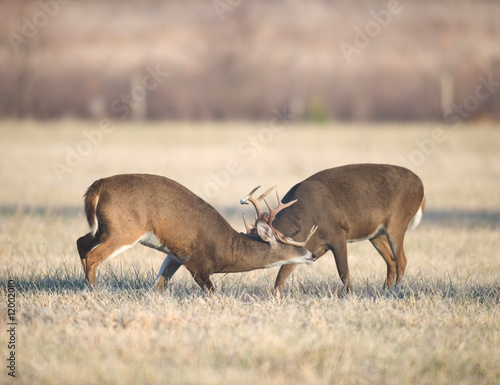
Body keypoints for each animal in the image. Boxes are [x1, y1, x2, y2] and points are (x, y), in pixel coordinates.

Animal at [75, 172, 316, 290]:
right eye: (286, 241)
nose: (312, 255)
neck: (227, 250)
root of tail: (99, 185)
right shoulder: (198, 263)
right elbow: (212, 292)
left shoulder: (175, 255)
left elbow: (158, 286)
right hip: (124, 230)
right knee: (93, 256)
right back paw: (94, 292)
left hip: (102, 228)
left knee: (81, 242)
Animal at [242, 164, 426, 296]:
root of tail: (422, 186)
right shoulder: (307, 249)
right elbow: (280, 278)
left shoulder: (337, 235)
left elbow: (344, 273)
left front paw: (349, 296)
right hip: (375, 234)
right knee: (391, 261)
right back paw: (385, 290)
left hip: (397, 221)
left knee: (401, 260)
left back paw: (397, 290)